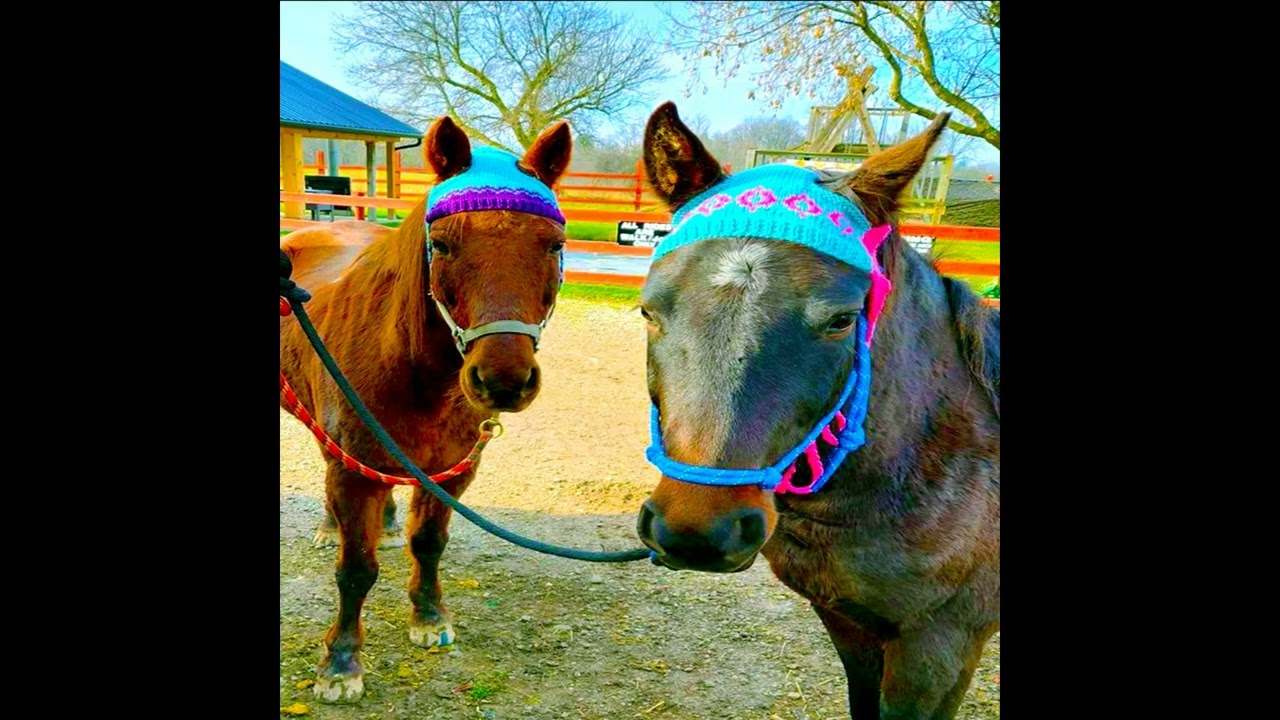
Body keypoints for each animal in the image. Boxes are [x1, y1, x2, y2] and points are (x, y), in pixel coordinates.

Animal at [279, 115, 573, 703]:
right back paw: (330, 526)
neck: (417, 377)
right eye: (441, 244)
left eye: (554, 245)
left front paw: (429, 616)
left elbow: (430, 543)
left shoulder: (453, 471)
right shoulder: (353, 473)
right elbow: (355, 569)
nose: (503, 381)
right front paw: (341, 663)